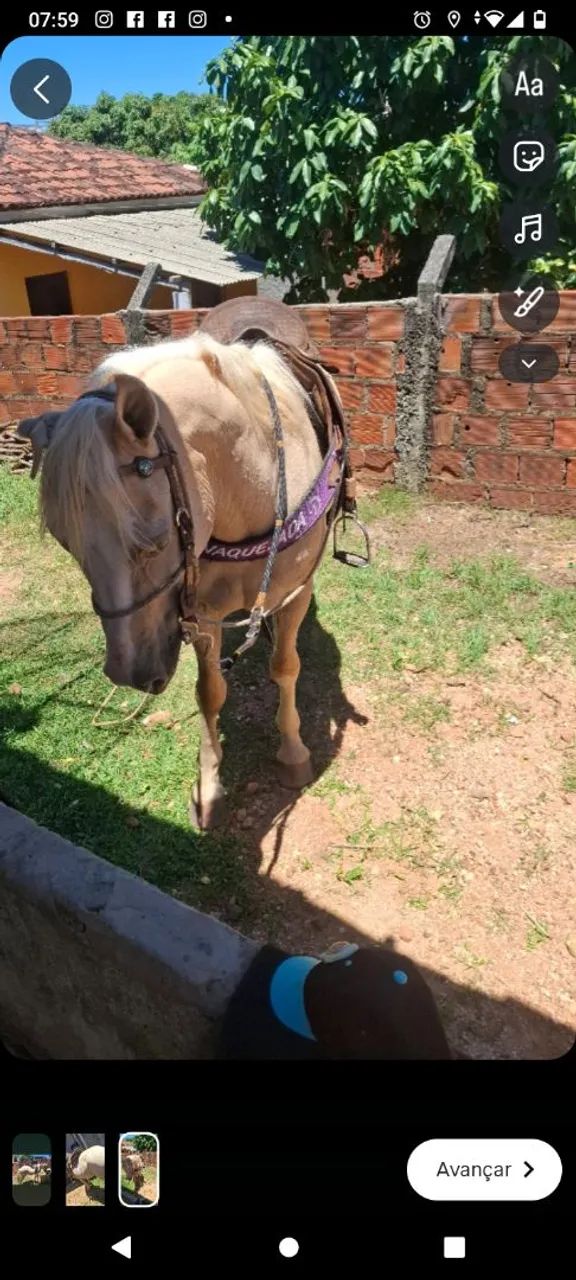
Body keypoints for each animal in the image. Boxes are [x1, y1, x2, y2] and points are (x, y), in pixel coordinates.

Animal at [17, 305, 363, 829]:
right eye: (66, 544)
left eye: (156, 539)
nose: (129, 673)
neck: (253, 485)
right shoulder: (203, 613)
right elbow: (209, 692)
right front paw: (209, 787)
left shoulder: (294, 593)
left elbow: (286, 667)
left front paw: (294, 753)